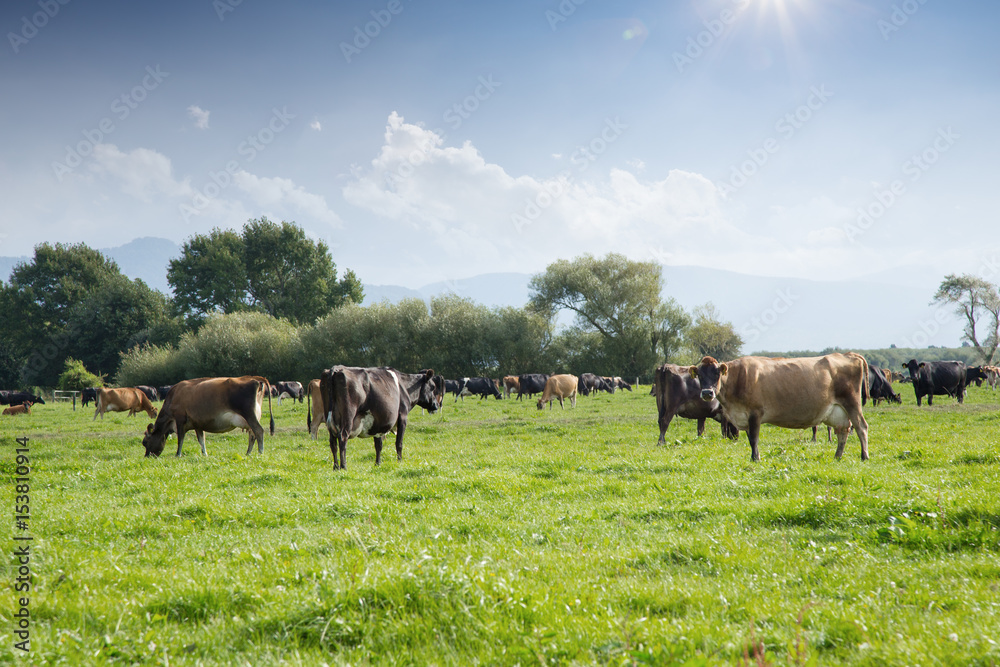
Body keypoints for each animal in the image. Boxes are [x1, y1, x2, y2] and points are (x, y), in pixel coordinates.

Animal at [141, 376, 274, 460]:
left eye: (145, 442)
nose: (147, 457)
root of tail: (256, 379)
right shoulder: (197, 424)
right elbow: (201, 440)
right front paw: (205, 454)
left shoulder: (180, 419)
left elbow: (181, 439)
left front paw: (177, 455)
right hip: (252, 417)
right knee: (252, 434)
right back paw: (248, 453)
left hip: (249, 414)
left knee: (258, 431)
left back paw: (260, 452)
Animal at [692, 352, 872, 462]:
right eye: (699, 375)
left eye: (717, 373)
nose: (707, 393)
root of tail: (847, 354)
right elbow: (750, 439)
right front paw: (755, 457)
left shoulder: (755, 413)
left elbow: (754, 439)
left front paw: (755, 459)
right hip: (838, 411)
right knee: (843, 431)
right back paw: (837, 456)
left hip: (852, 403)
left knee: (860, 427)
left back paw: (864, 456)